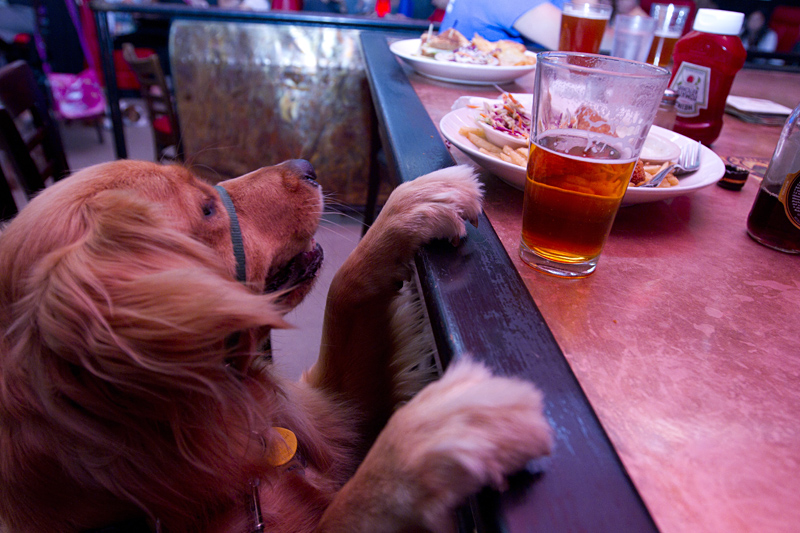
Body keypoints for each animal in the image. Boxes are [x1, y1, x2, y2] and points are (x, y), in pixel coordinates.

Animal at [0, 161, 552, 532]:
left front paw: (413, 203)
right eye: (207, 209)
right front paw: (448, 427)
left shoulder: (333, 415)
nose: (306, 167)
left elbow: (344, 289)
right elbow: (357, 503)